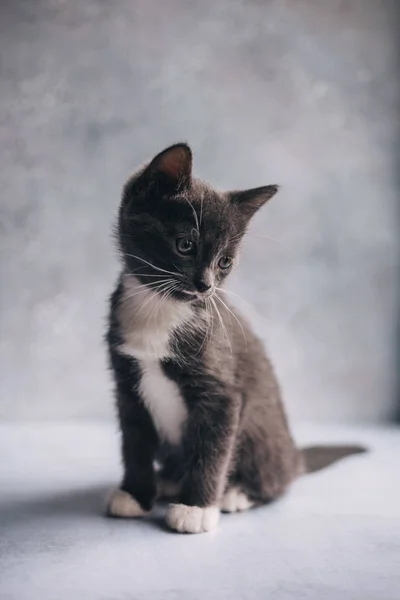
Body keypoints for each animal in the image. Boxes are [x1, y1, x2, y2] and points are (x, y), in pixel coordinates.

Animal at [105, 143, 366, 532]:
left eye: (224, 262)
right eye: (185, 245)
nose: (205, 286)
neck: (161, 308)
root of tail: (293, 455)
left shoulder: (223, 395)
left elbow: (212, 449)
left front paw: (196, 509)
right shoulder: (127, 385)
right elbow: (135, 442)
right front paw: (135, 494)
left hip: (262, 435)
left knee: (275, 482)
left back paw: (235, 493)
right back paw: (168, 481)